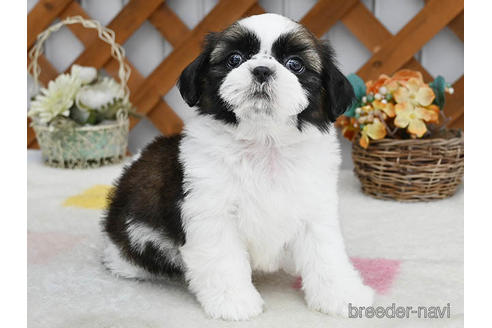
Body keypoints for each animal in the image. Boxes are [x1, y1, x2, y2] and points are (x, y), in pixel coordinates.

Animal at [103, 12, 372, 320]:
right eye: (234, 58)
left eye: (295, 64)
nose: (262, 71)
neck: (264, 142)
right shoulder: (212, 212)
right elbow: (223, 259)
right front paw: (233, 301)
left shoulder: (314, 208)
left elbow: (326, 254)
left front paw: (343, 294)